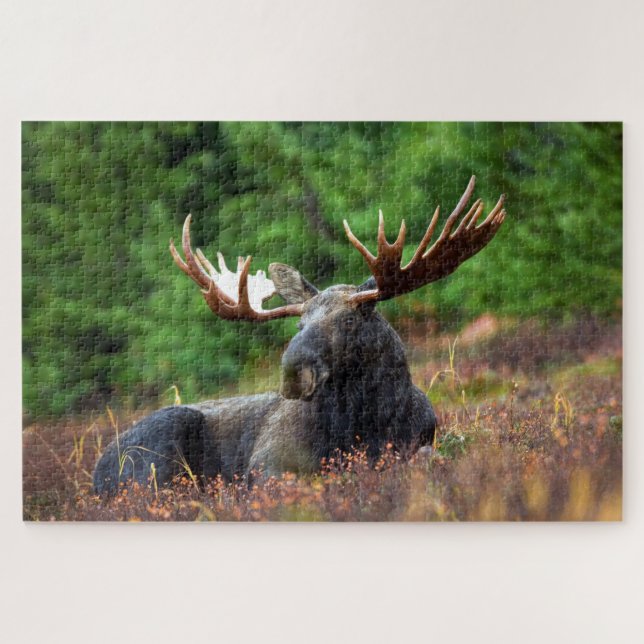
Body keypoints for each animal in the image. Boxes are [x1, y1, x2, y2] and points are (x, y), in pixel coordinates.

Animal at [93, 176, 505, 494]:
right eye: (299, 324)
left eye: (351, 320)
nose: (293, 372)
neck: (366, 423)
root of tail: (97, 473)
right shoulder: (267, 462)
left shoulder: (421, 440)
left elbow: (427, 458)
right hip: (158, 452)